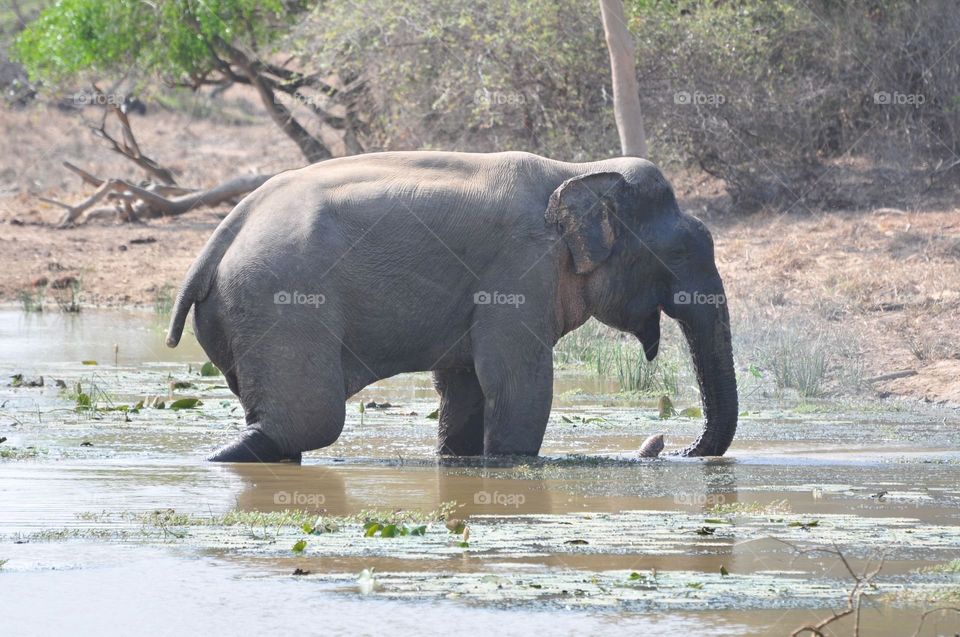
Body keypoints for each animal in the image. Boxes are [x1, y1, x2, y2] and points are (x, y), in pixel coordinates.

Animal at [165, 151, 737, 463]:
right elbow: (517, 383)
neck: (579, 170)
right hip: (281, 305)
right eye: (680, 253)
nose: (673, 447)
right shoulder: (520, 272)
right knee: (309, 422)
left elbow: (465, 387)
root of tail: (220, 236)